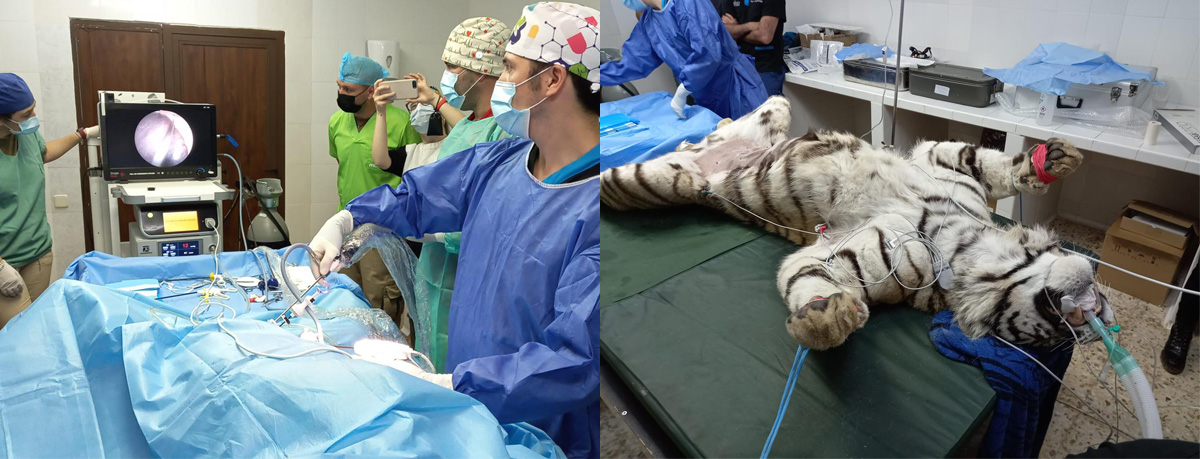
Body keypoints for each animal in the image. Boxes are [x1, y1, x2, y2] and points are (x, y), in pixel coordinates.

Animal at [600, 96, 1114, 351]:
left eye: (1053, 339)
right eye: (1061, 328)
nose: (1101, 319)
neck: (969, 241)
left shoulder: (844, 258)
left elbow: (806, 281)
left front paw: (825, 319)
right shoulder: (945, 161)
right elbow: (990, 162)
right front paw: (1054, 160)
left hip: (701, 154)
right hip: (670, 167)